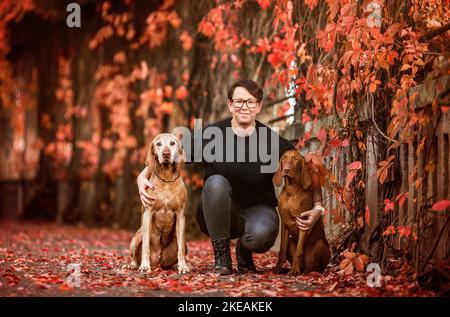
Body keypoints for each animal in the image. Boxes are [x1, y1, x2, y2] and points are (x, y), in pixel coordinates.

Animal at [125, 132, 189, 272]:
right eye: (158, 144)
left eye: (172, 143)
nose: (166, 154)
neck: (166, 178)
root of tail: (159, 263)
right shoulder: (148, 214)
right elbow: (145, 248)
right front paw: (144, 266)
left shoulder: (180, 215)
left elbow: (180, 250)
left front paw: (183, 266)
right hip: (137, 236)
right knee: (135, 254)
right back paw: (133, 264)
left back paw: (177, 265)